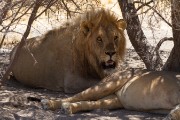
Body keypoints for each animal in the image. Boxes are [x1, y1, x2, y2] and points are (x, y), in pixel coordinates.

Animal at [42, 70, 180, 119]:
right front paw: (172, 115)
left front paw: (172, 115)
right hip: (109, 83)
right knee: (76, 96)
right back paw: (48, 103)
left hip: (114, 100)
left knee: (92, 103)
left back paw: (68, 108)